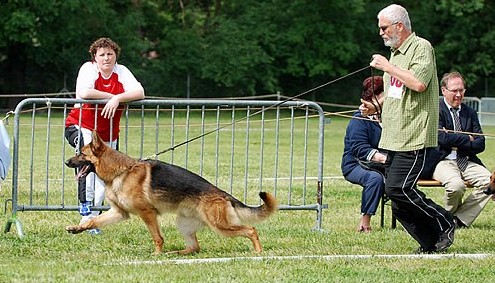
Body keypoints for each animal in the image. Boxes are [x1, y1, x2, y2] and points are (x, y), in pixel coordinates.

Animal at [65, 132, 280, 256]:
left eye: (81, 154)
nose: (66, 162)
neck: (121, 171)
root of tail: (224, 195)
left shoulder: (147, 213)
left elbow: (157, 237)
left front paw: (157, 255)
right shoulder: (120, 213)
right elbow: (93, 221)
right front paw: (77, 228)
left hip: (220, 226)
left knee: (251, 230)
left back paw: (258, 252)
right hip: (184, 224)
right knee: (194, 248)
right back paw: (176, 253)